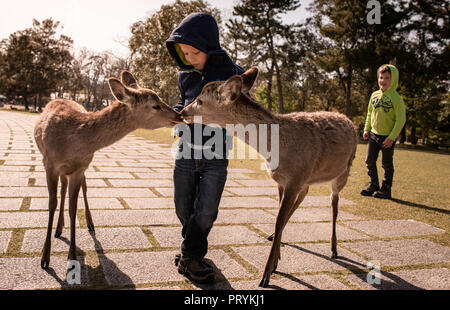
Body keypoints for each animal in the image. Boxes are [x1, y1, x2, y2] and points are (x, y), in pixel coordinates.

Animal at [34, 71, 181, 270]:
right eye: (155, 105)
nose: (179, 115)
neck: (71, 142)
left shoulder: (80, 168)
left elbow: (74, 207)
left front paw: (72, 257)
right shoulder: (49, 163)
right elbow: (51, 204)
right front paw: (44, 257)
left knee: (80, 189)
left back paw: (85, 224)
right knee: (62, 191)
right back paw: (58, 230)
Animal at [179, 66, 358, 286]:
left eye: (200, 101)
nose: (182, 112)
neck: (276, 149)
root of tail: (349, 120)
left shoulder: (295, 178)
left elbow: (279, 220)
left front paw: (265, 276)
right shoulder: (283, 181)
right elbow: (279, 218)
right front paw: (274, 263)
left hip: (343, 171)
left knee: (334, 203)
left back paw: (333, 248)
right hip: (308, 179)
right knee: (306, 193)